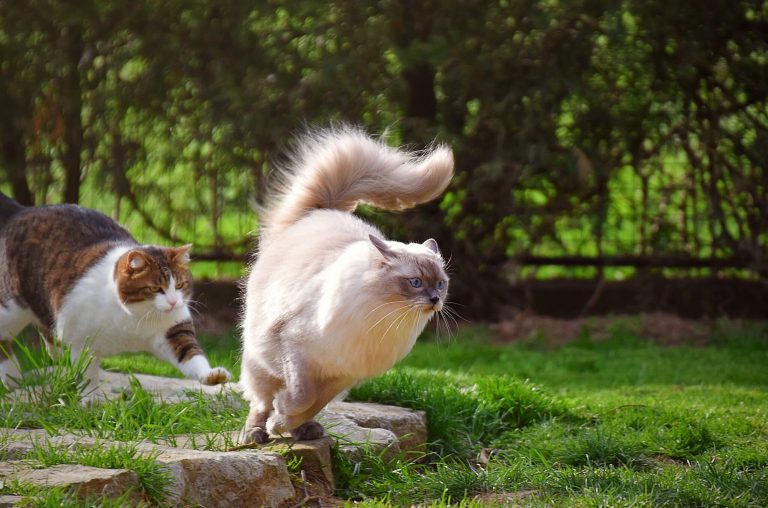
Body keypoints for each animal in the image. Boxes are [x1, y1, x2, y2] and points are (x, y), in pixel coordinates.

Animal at [0, 192, 231, 386]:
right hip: (13, 307)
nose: (174, 302)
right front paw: (88, 398)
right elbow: (86, 370)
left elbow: (190, 353)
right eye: (156, 288)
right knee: (5, 336)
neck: (133, 318)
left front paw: (211, 375)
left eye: (180, 285)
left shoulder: (173, 329)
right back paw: (11, 377)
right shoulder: (80, 337)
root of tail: (21, 210)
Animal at [240, 125, 452, 442]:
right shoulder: (296, 349)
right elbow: (299, 396)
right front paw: (276, 421)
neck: (385, 319)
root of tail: (321, 211)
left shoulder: (340, 376)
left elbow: (310, 404)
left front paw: (283, 424)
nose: (434, 300)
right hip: (261, 359)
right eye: (415, 282)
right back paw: (255, 433)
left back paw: (305, 431)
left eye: (440, 284)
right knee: (260, 399)